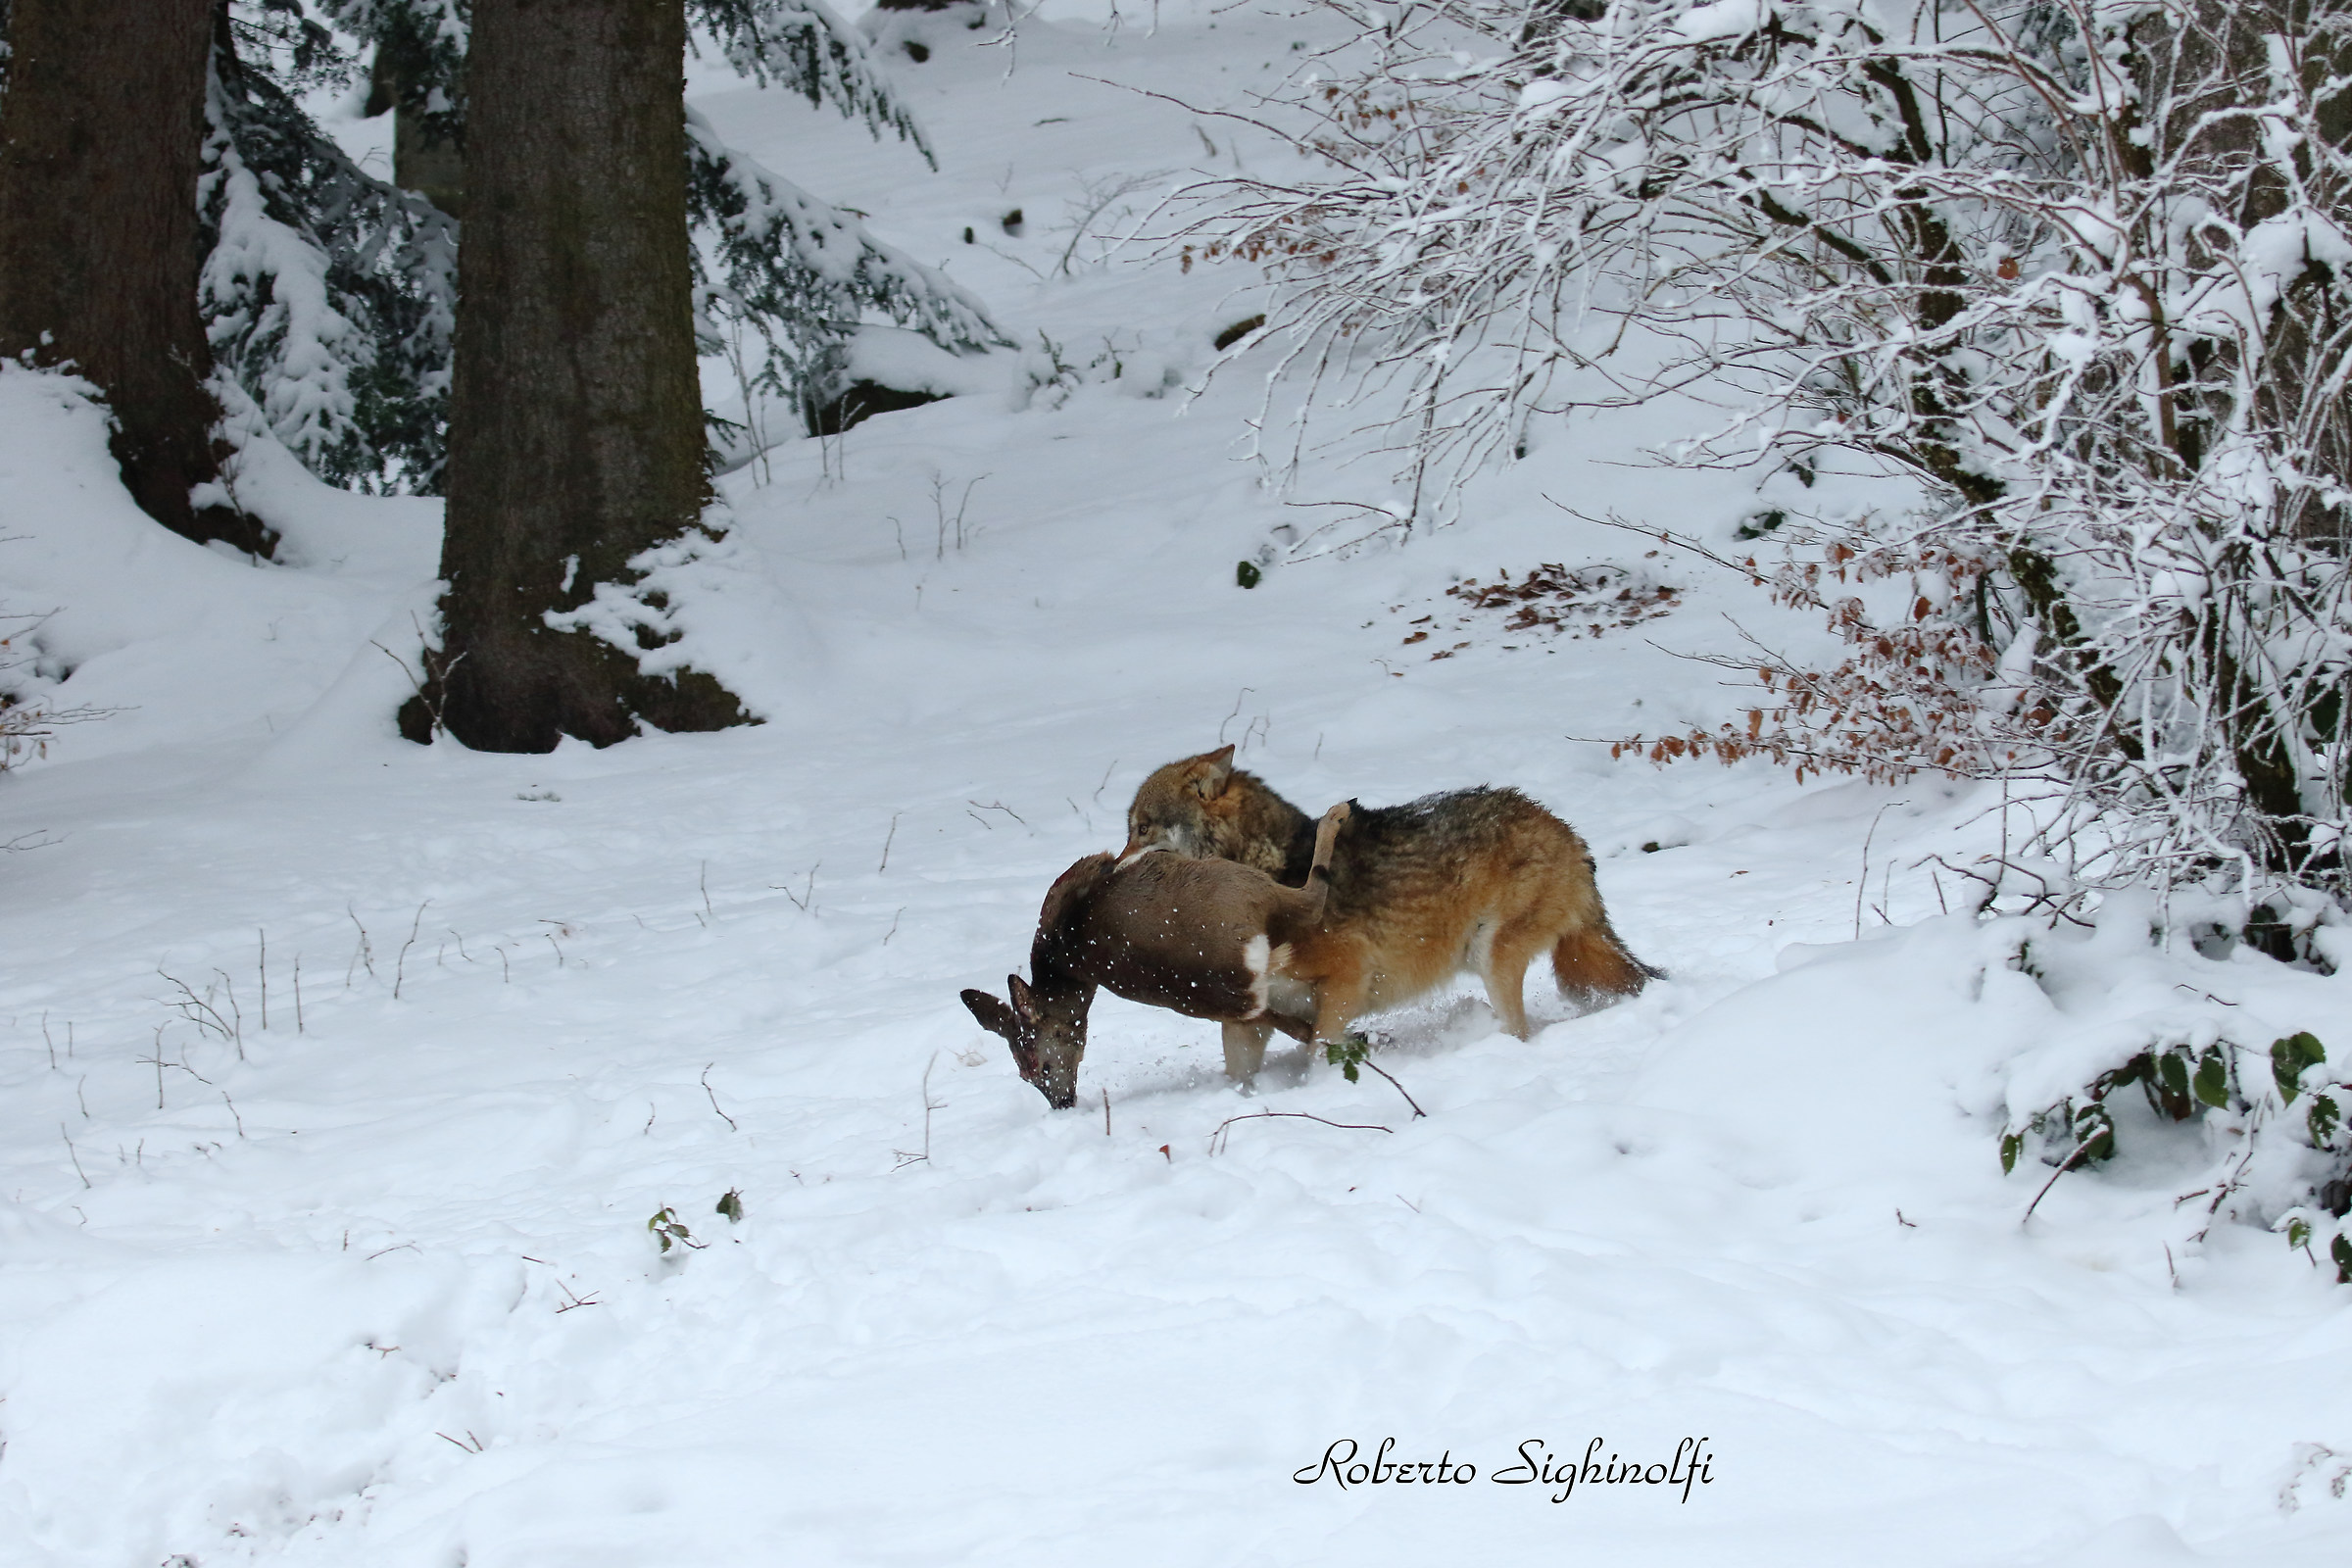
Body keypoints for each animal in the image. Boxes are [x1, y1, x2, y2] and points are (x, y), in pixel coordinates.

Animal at [961, 801, 1352, 1108]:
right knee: (1312, 899)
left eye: (1032, 1071)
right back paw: (1335, 814)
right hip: (1244, 886)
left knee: (1289, 1022)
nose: (1062, 1102)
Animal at [1124, 745, 1658, 1074]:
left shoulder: (1346, 983)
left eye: (1143, 829)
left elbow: (1319, 1055)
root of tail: (1568, 832)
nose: (1111, 868)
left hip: (1494, 957)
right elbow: (1240, 1082)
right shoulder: (1248, 1019)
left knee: (1519, 1031)